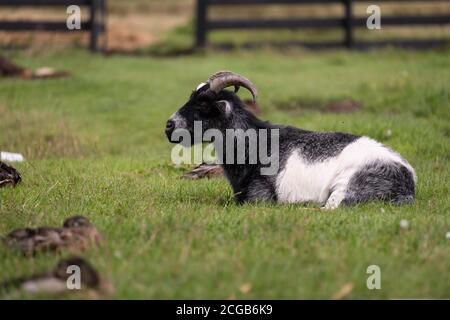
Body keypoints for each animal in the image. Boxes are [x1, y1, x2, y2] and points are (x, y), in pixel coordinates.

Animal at [167, 71, 416, 209]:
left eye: (203, 104)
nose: (169, 126)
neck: (254, 144)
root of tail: (408, 182)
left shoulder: (259, 197)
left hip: (348, 188)